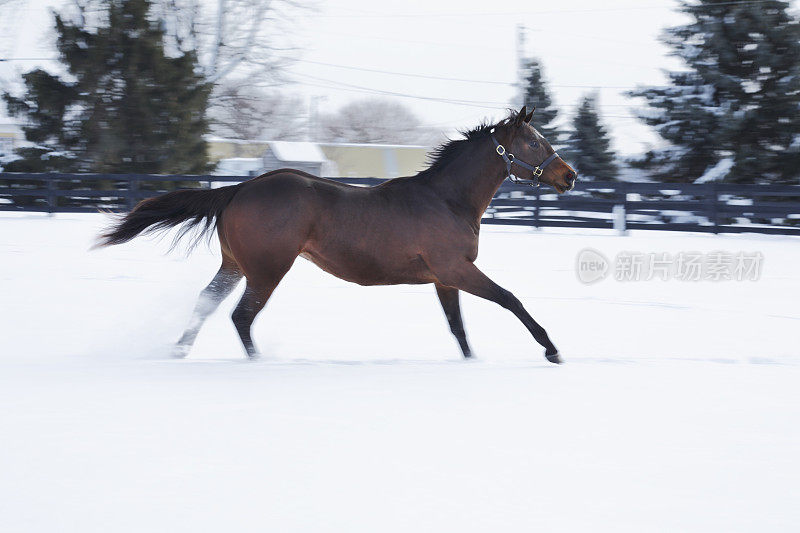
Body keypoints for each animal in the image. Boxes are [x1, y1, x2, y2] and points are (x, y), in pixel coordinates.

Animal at [97, 108, 580, 366]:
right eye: (534, 142)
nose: (570, 176)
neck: (447, 199)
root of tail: (240, 189)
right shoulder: (456, 269)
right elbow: (510, 299)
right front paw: (552, 349)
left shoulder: (444, 278)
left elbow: (457, 327)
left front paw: (473, 361)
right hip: (268, 270)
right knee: (241, 317)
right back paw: (257, 361)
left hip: (234, 265)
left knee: (206, 304)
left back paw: (177, 352)